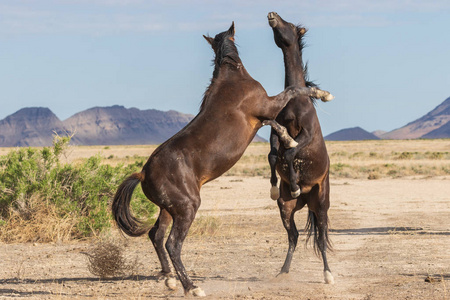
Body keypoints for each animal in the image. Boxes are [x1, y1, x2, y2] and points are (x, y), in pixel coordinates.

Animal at [111, 22, 334, 296]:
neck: (233, 79)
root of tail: (143, 173)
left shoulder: (263, 116)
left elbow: (275, 127)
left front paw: (288, 139)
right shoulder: (267, 106)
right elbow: (292, 91)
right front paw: (322, 94)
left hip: (167, 208)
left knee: (156, 235)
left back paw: (170, 279)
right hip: (187, 207)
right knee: (173, 244)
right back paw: (192, 287)